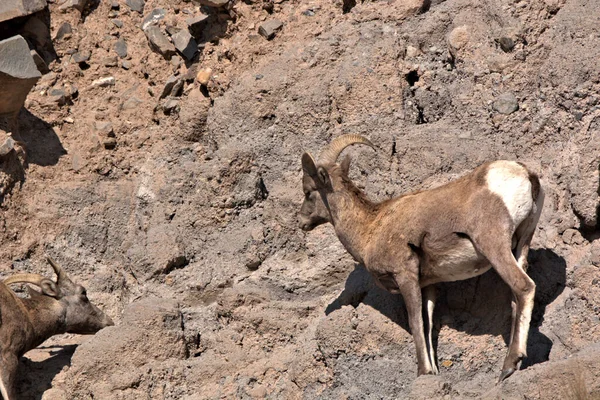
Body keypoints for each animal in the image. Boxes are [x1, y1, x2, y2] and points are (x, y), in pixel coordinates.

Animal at [300, 135, 544, 382]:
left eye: (308, 192)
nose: (302, 222)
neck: (370, 228)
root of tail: (525, 174)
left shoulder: (405, 275)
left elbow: (415, 322)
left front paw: (422, 372)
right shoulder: (427, 285)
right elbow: (427, 325)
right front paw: (432, 372)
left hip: (494, 246)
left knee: (524, 286)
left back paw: (509, 366)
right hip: (521, 244)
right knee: (515, 299)